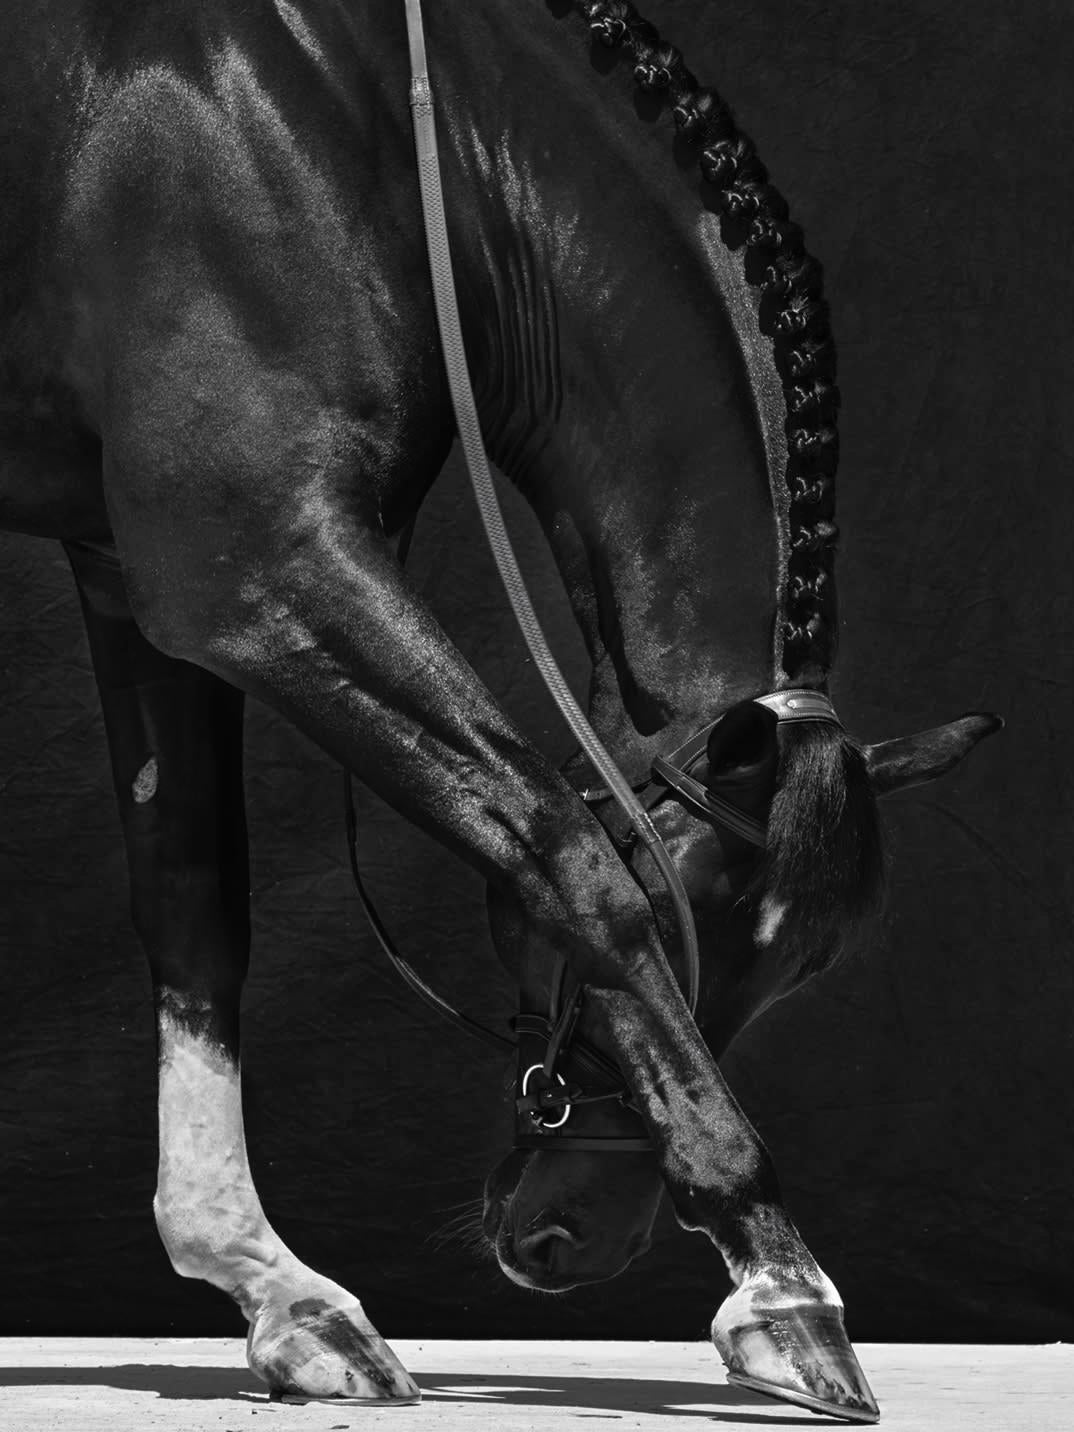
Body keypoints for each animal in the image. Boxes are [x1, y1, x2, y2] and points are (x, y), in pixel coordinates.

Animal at [0, 2, 1002, 1420]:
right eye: (692, 921)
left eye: (799, 973)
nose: (571, 1242)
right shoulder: (258, 570)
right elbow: (562, 853)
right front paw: (785, 1289)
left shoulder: (137, 577)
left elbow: (196, 912)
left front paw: (269, 1286)